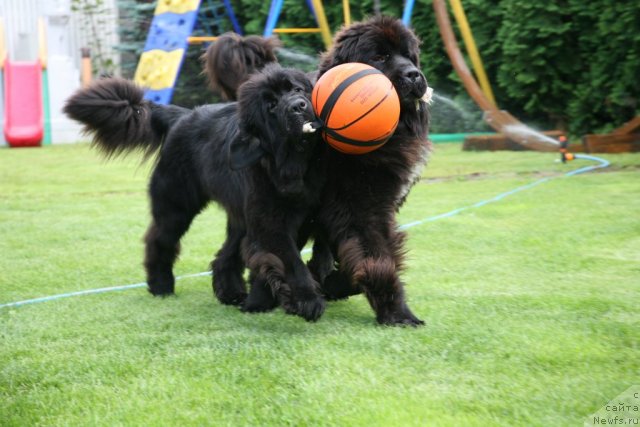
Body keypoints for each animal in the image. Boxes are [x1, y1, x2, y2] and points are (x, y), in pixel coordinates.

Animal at [63, 66, 330, 320]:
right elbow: (289, 260)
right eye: (271, 106)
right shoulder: (271, 222)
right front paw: (307, 300)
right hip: (176, 205)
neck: (294, 163)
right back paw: (161, 286)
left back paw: (232, 294)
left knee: (226, 253)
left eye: (296, 89)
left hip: (237, 213)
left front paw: (263, 301)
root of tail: (181, 116)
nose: (298, 105)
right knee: (159, 240)